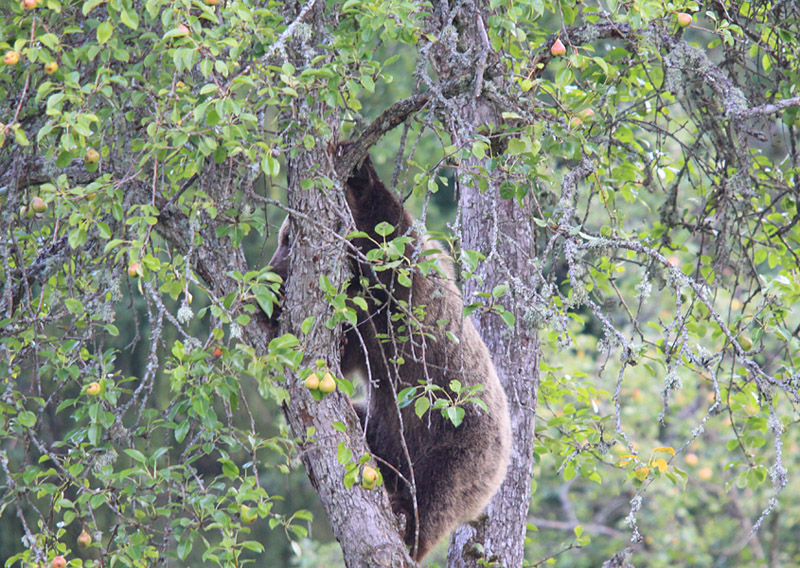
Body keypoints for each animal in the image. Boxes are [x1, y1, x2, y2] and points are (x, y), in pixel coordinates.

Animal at [266, 144, 510, 560]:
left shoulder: (404, 292)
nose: (271, 274)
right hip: (384, 430)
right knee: (361, 420)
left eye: (288, 240)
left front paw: (360, 171)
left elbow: (389, 227)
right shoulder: (363, 329)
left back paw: (408, 523)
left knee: (436, 494)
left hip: (459, 441)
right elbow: (344, 352)